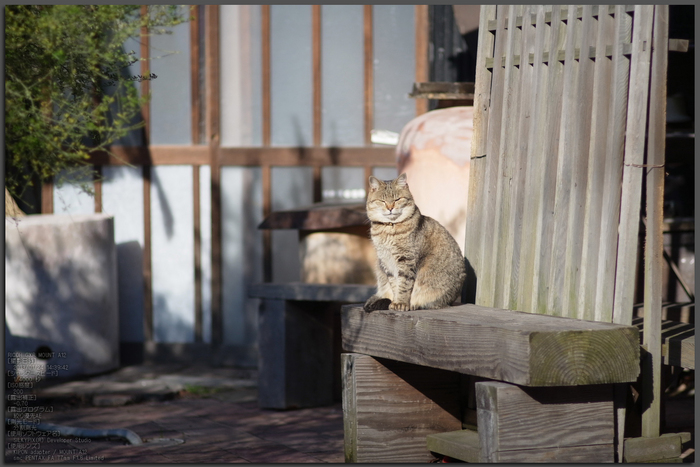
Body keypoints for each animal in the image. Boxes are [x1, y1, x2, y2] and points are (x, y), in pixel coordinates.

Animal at [360, 174, 464, 312]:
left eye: (397, 199)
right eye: (382, 201)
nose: (390, 208)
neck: (389, 229)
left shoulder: (406, 259)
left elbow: (404, 284)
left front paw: (400, 303)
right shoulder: (386, 261)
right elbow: (395, 284)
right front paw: (395, 301)